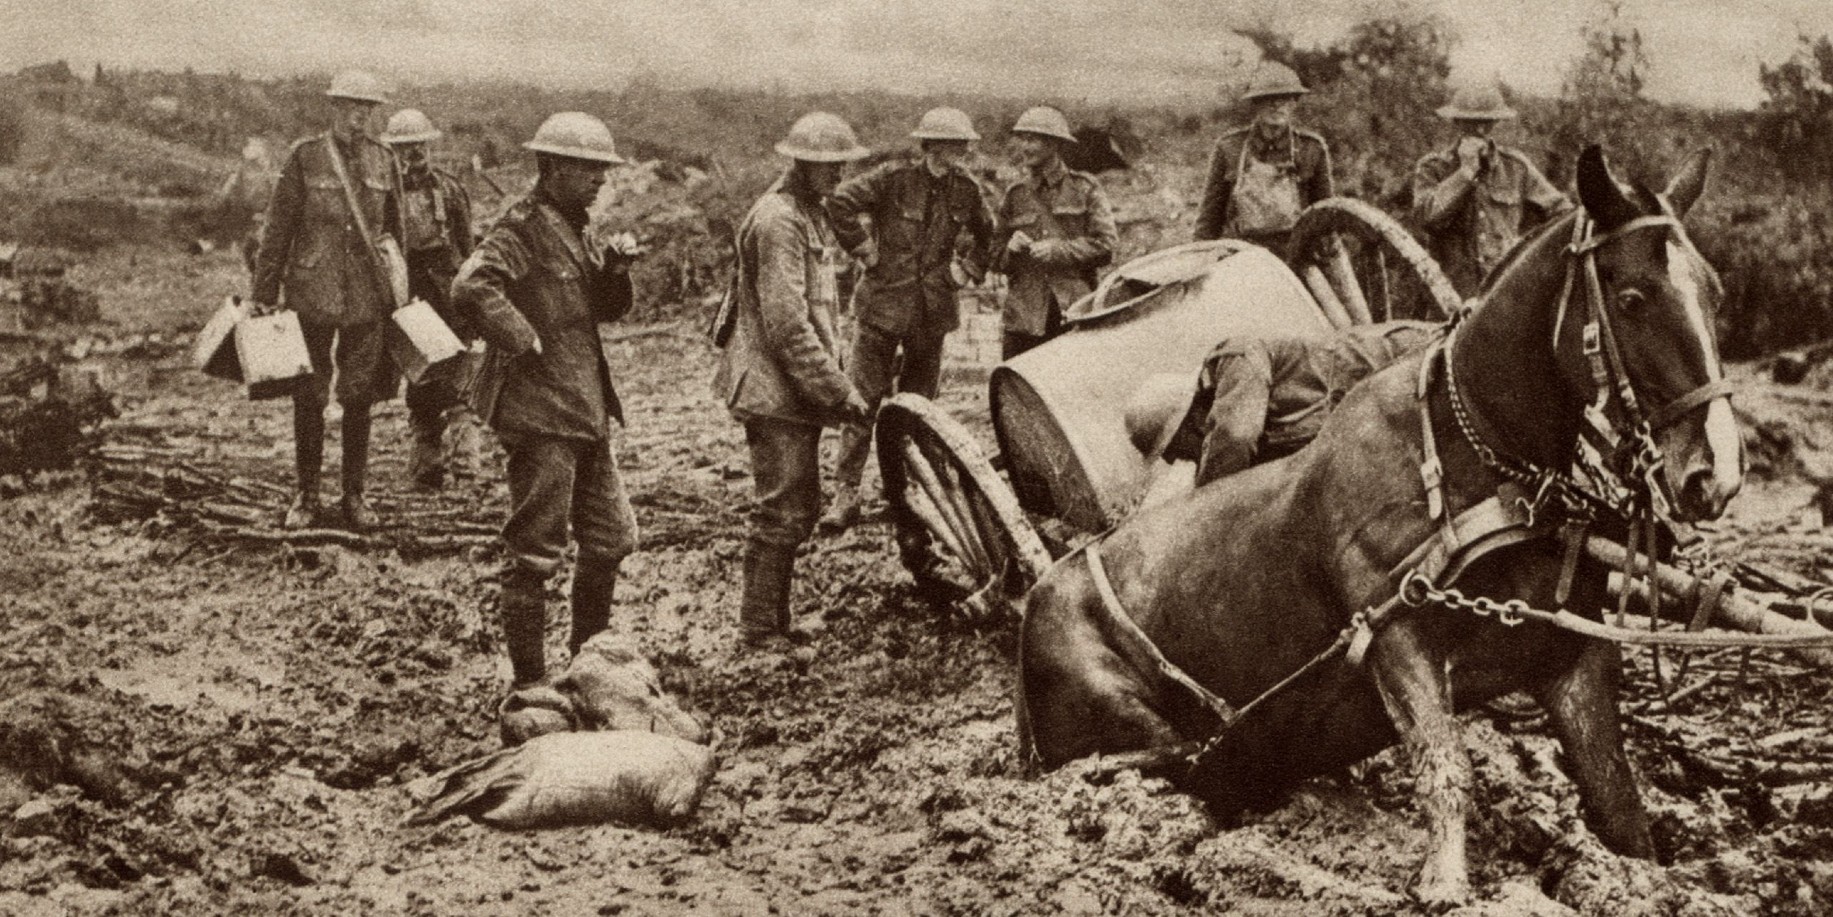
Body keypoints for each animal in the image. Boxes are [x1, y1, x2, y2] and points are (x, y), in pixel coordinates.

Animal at [1018, 146, 1740, 907]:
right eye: (1631, 299)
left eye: (1715, 293)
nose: (1715, 473)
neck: (1475, 461)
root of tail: (1037, 597)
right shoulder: (1395, 635)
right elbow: (1446, 765)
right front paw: (1445, 884)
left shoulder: (1573, 659)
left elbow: (1619, 803)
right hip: (1121, 723)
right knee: (1153, 759)